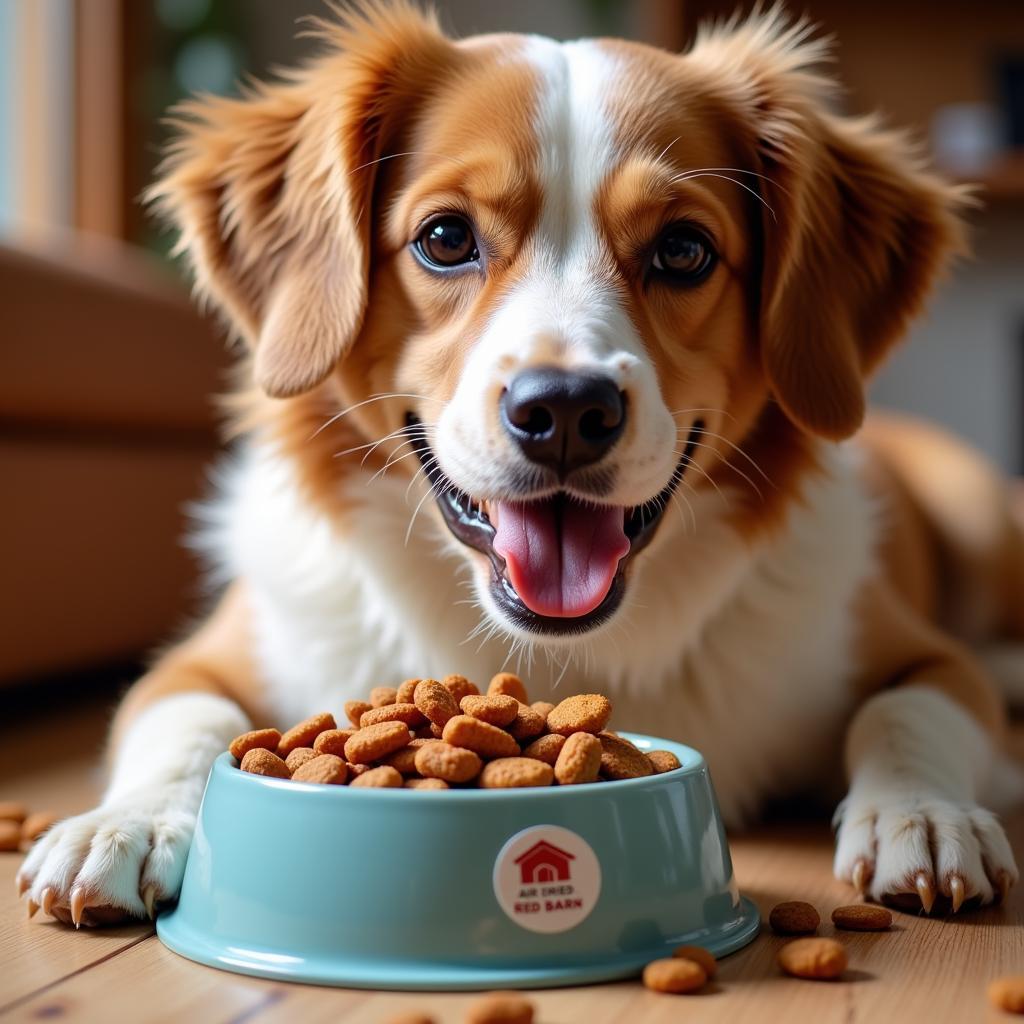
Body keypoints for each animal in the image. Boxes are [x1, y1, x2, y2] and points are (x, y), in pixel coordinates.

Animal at [18, 0, 1024, 929]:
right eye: (444, 238)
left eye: (685, 249)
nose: (568, 412)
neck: (555, 653)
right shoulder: (203, 660)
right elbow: (182, 722)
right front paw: (124, 824)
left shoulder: (918, 655)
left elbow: (907, 713)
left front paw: (925, 815)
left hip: (978, 513)